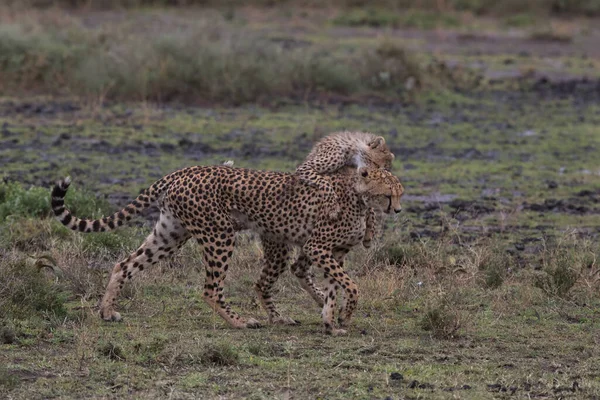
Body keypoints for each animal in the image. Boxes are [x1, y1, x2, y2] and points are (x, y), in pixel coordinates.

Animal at [52, 165, 404, 334]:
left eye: (400, 193)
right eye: (389, 193)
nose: (399, 210)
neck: (358, 196)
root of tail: (184, 170)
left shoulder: (333, 252)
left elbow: (334, 288)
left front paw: (331, 323)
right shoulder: (319, 248)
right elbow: (352, 286)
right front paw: (343, 315)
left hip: (171, 233)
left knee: (124, 264)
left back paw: (107, 311)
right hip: (219, 235)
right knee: (211, 289)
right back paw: (241, 322)